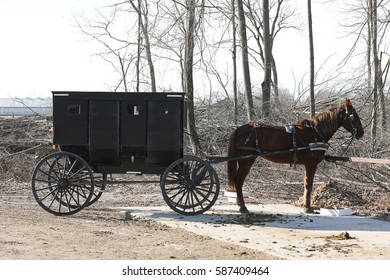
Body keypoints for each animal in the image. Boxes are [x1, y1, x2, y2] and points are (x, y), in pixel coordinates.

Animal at [227, 99, 364, 213]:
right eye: (354, 115)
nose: (361, 133)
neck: (316, 133)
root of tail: (239, 129)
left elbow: (306, 184)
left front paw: (306, 205)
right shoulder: (311, 163)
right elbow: (309, 184)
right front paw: (308, 207)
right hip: (247, 160)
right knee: (238, 180)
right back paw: (243, 206)